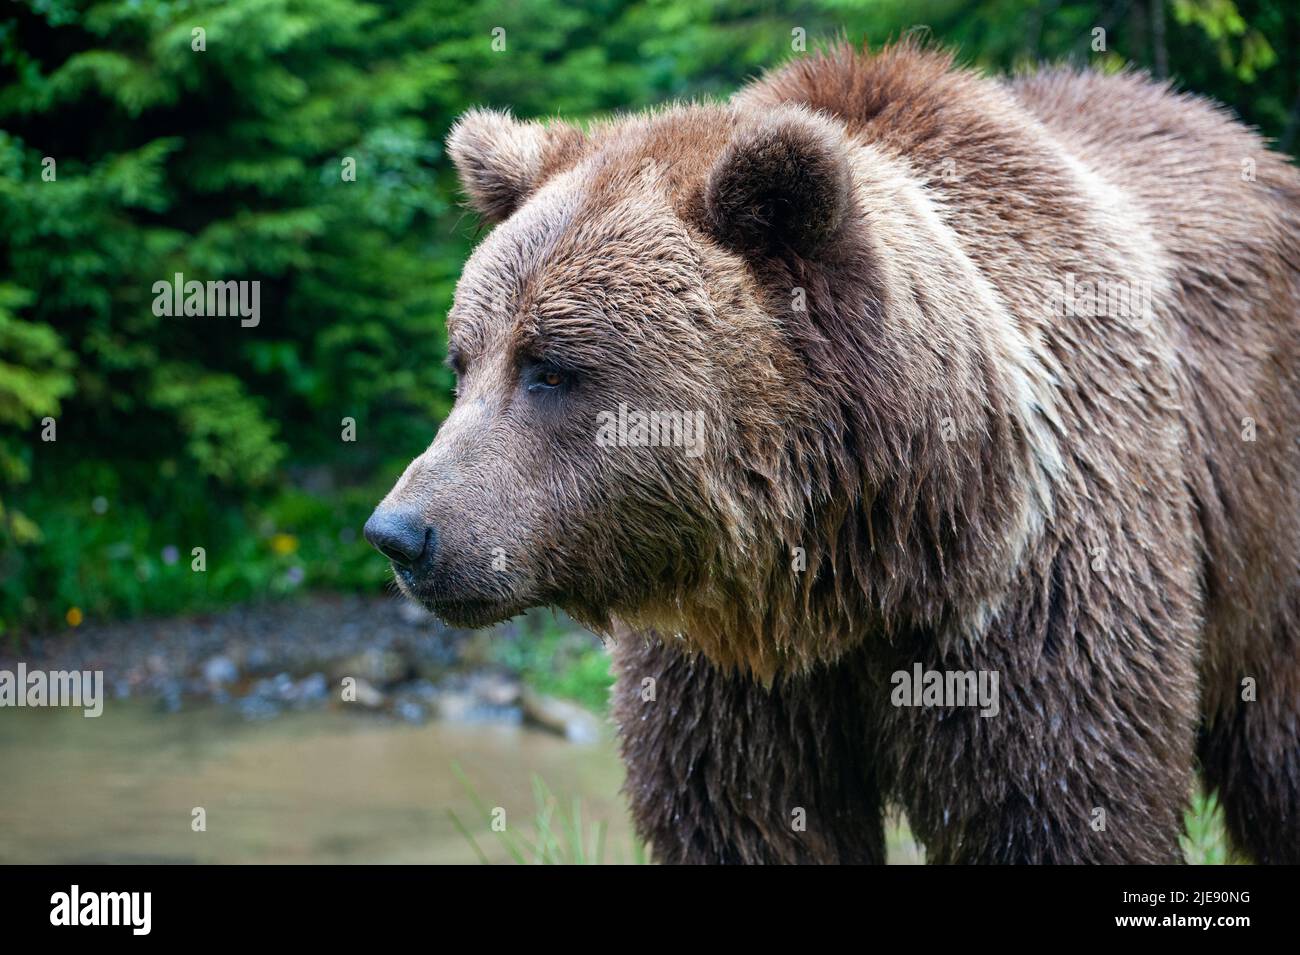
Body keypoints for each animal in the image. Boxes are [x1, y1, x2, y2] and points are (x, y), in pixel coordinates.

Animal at [364, 41, 1300, 864]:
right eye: (462, 361)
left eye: (552, 368)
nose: (402, 531)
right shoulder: (732, 676)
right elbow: (741, 819)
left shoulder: (1036, 593)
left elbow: (1061, 802)